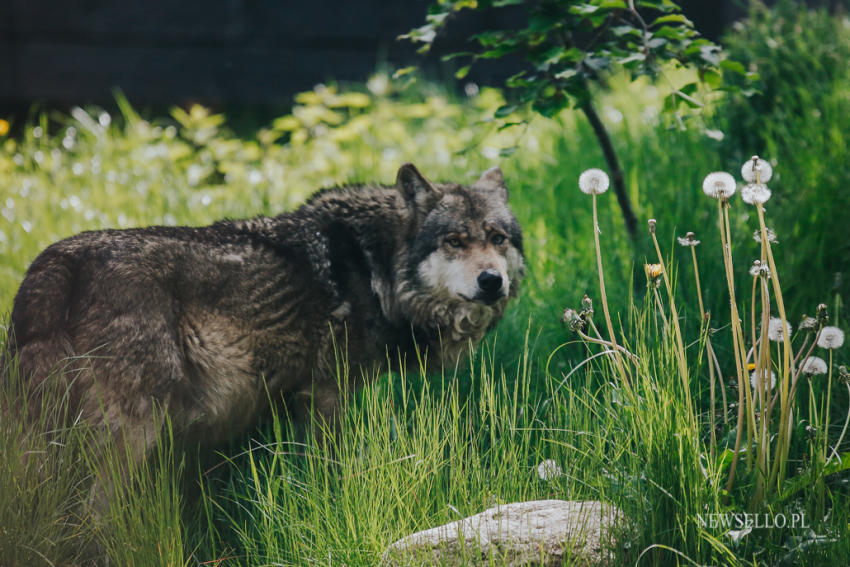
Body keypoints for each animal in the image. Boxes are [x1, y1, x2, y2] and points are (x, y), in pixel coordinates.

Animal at [3, 162, 524, 464]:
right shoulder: (326, 394)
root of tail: (52, 268)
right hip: (133, 435)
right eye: (454, 241)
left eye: (498, 238)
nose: (491, 281)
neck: (373, 263)